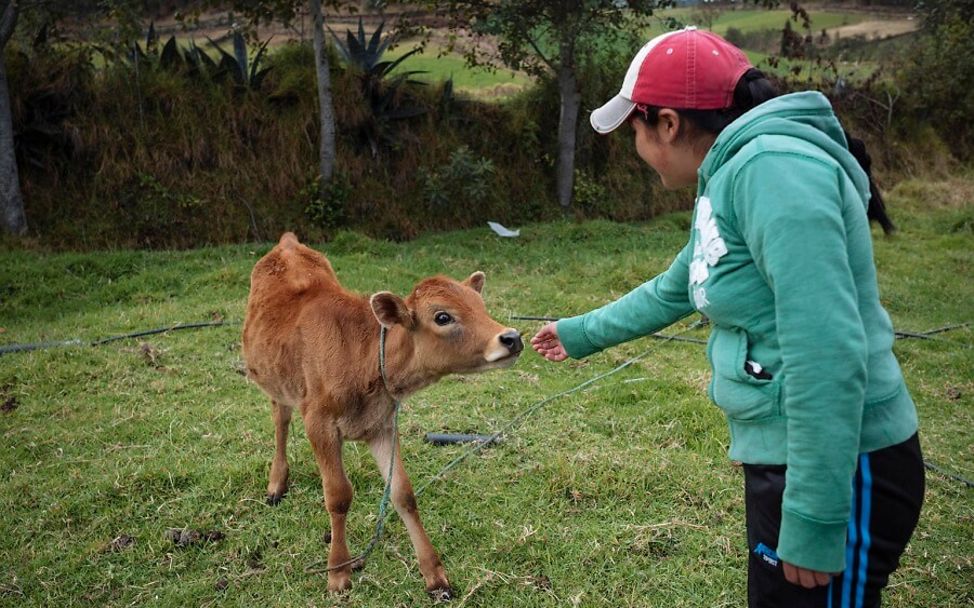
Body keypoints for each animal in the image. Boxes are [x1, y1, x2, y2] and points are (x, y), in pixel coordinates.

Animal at [242, 233, 528, 592]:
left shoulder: (382, 425)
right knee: (280, 420)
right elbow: (338, 495)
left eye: (481, 307)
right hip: (275, 380)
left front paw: (434, 574)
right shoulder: (319, 423)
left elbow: (402, 493)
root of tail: (287, 241)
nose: (512, 338)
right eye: (442, 317)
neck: (360, 360)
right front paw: (338, 572)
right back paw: (276, 483)